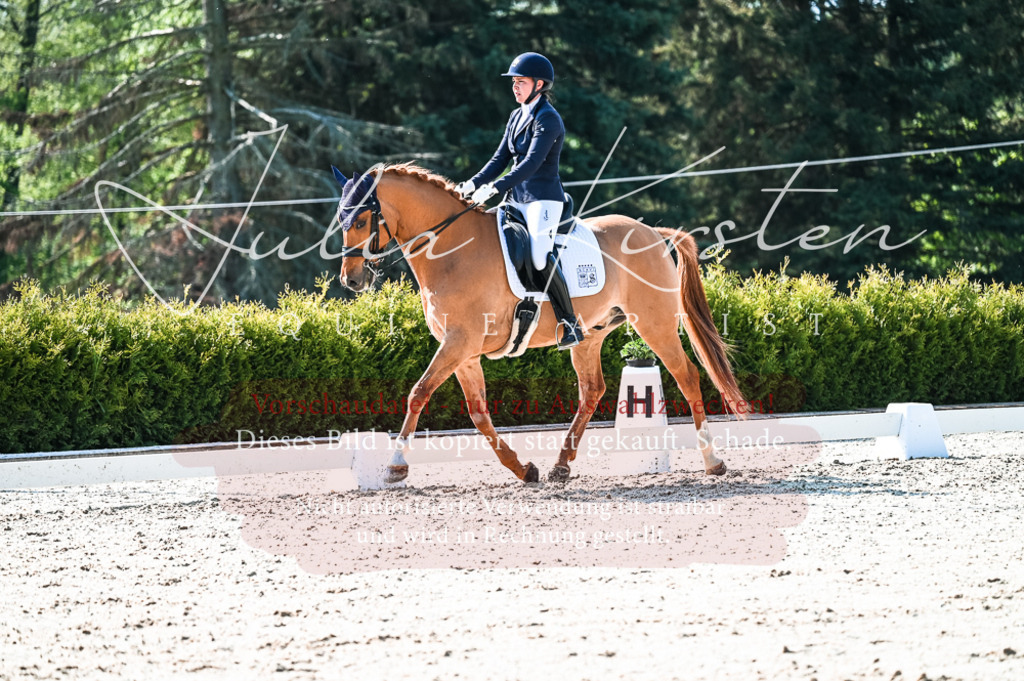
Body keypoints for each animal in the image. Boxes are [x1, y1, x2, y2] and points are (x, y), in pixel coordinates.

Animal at [331, 162, 747, 484]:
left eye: (363, 219)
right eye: (341, 219)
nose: (351, 280)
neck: (451, 250)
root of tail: (654, 234)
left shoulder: (459, 342)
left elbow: (418, 393)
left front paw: (395, 466)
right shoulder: (463, 351)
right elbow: (478, 413)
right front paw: (523, 469)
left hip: (655, 324)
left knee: (687, 376)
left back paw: (713, 462)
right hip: (589, 335)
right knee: (591, 390)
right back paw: (560, 466)